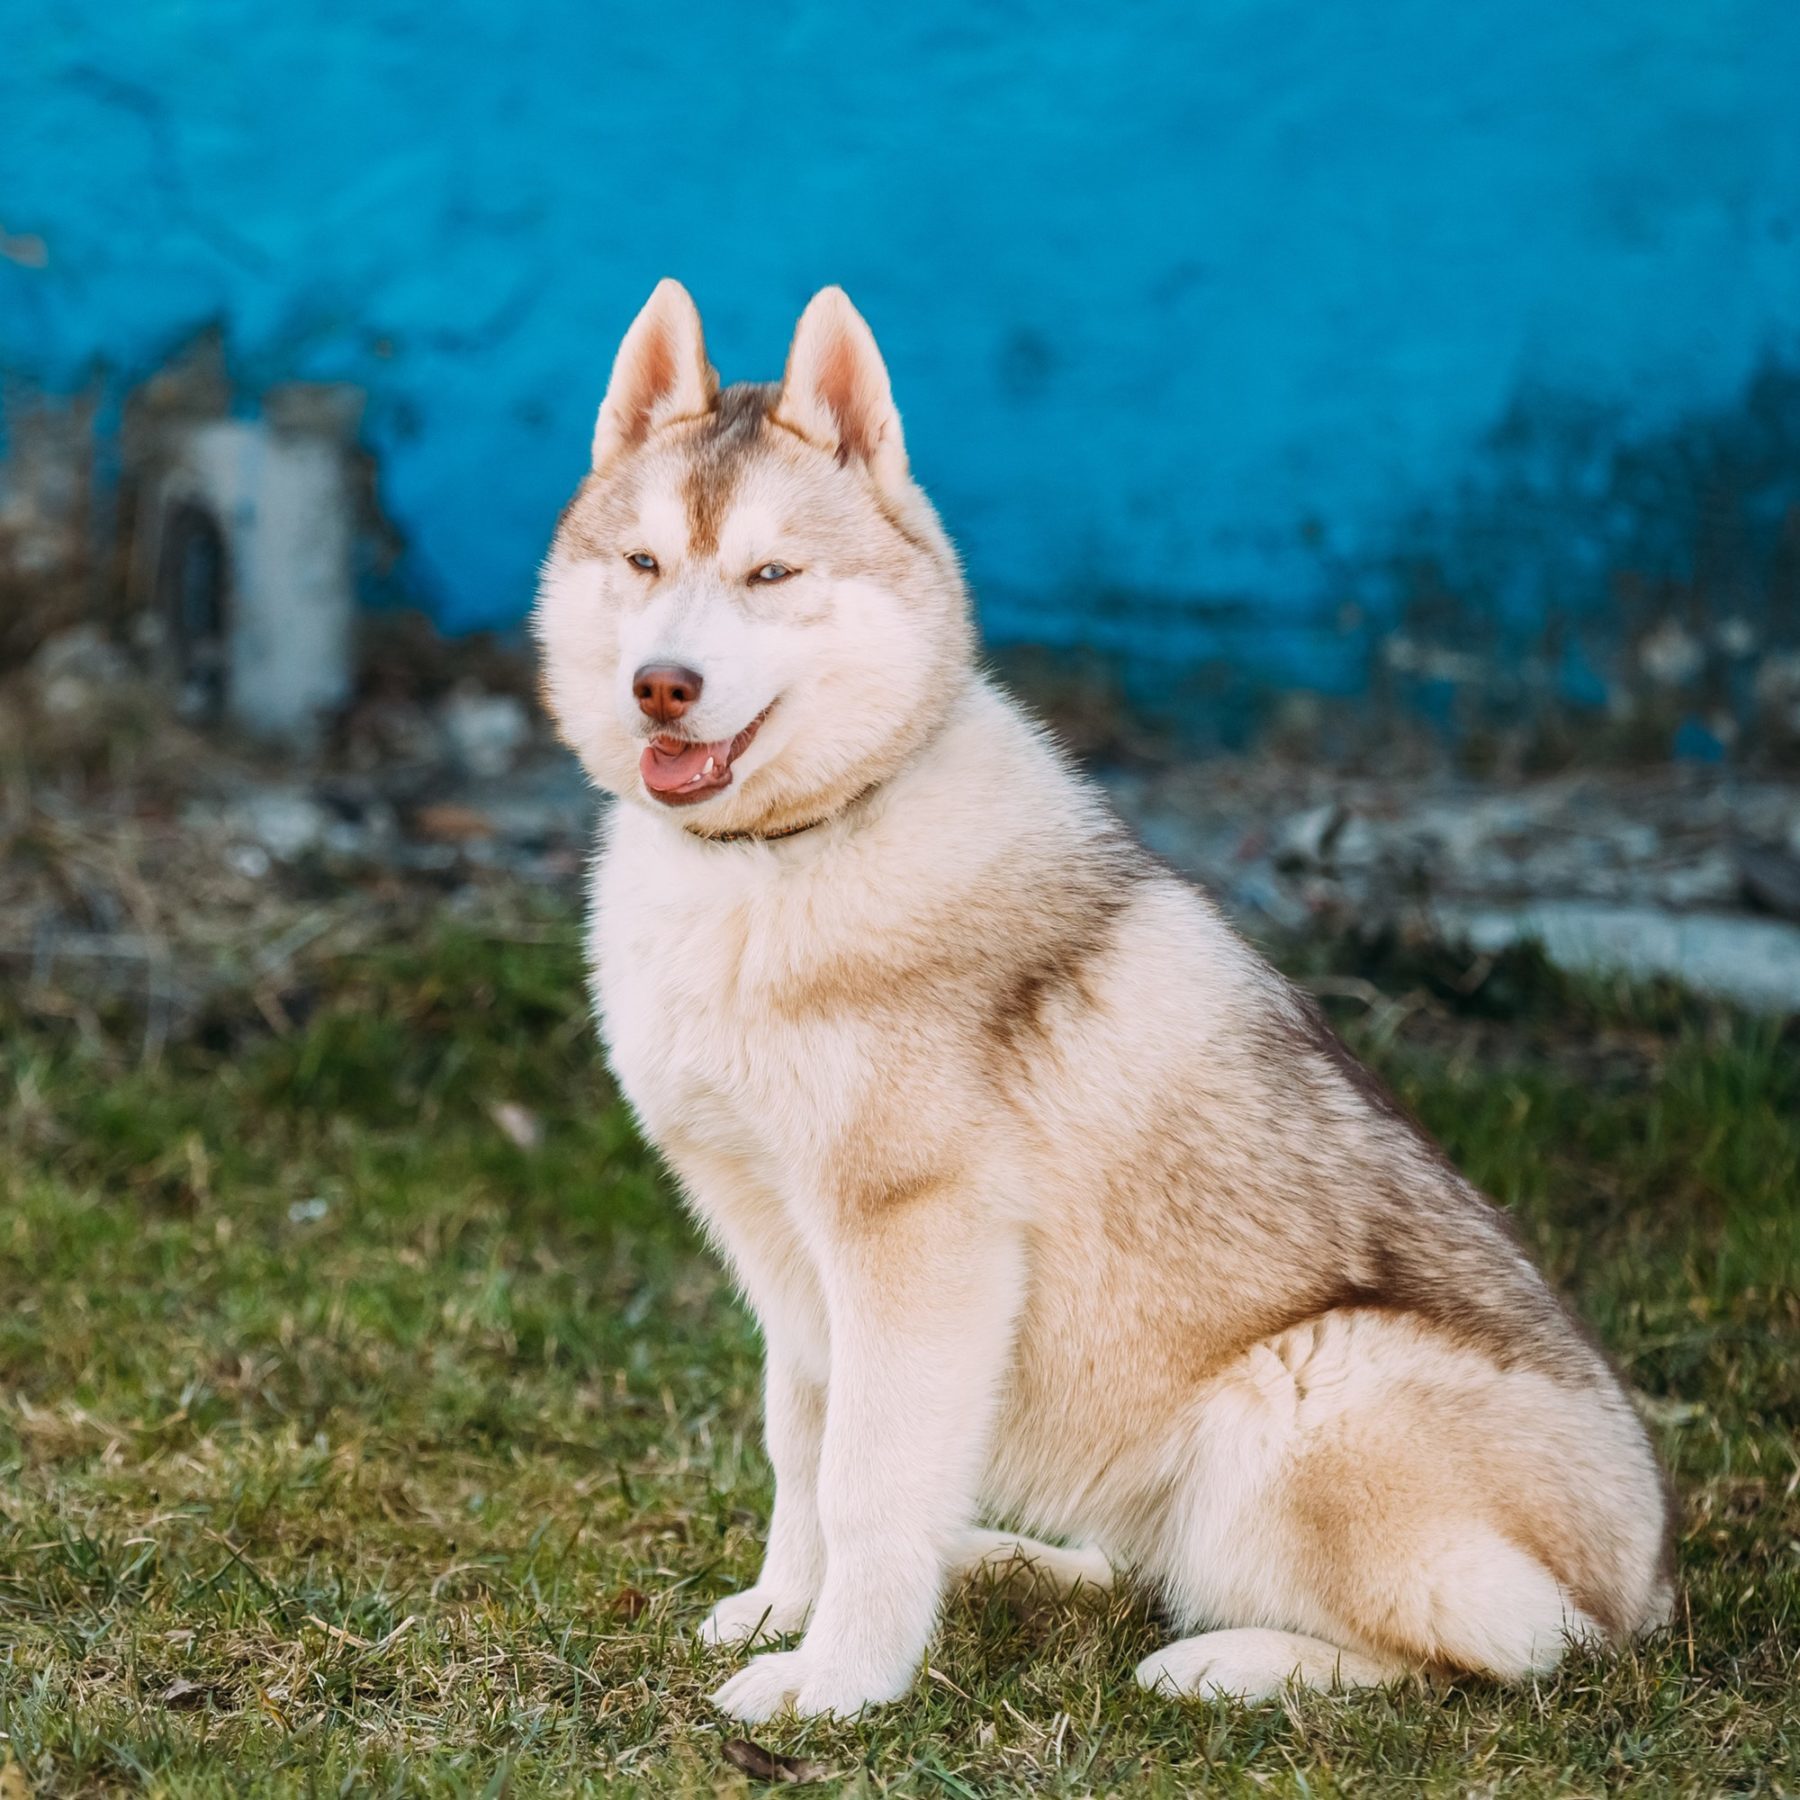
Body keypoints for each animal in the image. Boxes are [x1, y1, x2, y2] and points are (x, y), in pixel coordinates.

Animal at [532, 277, 1670, 1713]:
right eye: (641, 565)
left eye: (771, 575)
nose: (661, 685)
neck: (785, 856)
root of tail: (1646, 1588)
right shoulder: (787, 1257)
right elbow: (803, 1449)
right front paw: (783, 1610)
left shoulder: (914, 1243)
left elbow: (865, 1481)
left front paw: (841, 1680)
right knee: (1160, 1561)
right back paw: (1017, 1563)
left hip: (1308, 1389)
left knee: (1498, 1645)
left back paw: (1232, 1661)